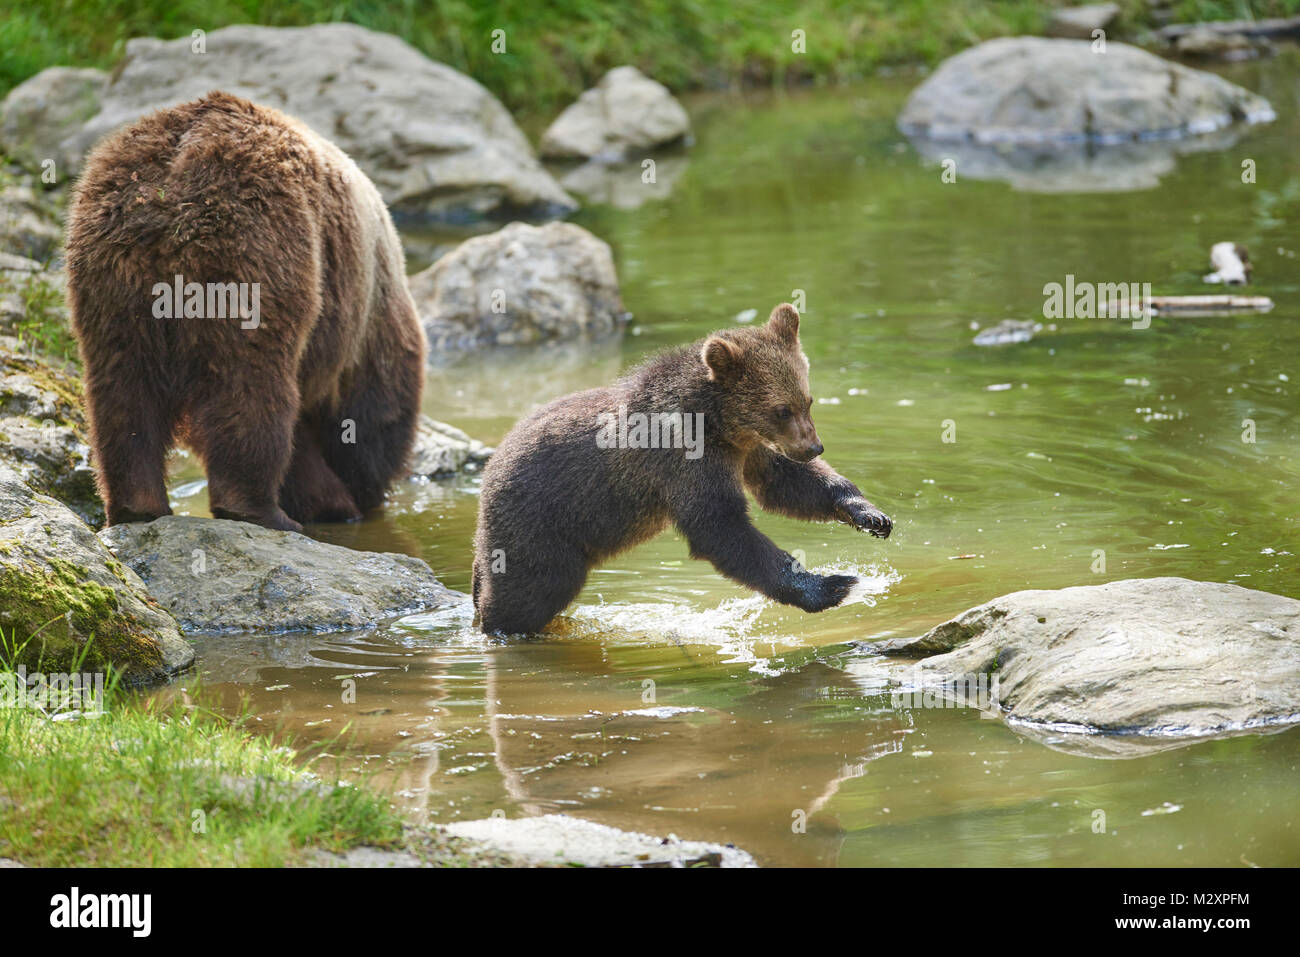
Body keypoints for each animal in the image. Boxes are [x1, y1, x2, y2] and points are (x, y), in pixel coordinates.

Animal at [65, 89, 423, 530]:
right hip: (257, 251)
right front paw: (343, 499)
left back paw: (137, 505)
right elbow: (371, 416)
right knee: (250, 383)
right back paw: (261, 510)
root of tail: (174, 176)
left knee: (124, 387)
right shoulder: (368, 323)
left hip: (113, 271)